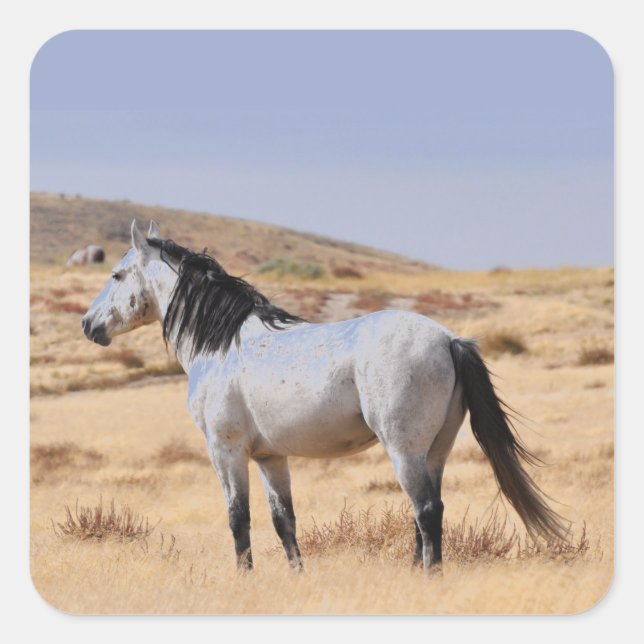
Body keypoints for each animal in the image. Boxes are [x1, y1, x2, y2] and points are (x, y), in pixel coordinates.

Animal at [81, 220, 566, 572]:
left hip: (404, 450)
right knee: (425, 512)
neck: (221, 344)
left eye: (116, 274)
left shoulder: (226, 451)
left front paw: (244, 579)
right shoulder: (270, 457)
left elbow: (239, 519)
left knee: (426, 510)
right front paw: (297, 576)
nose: (89, 324)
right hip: (435, 452)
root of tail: (449, 339)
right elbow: (284, 521)